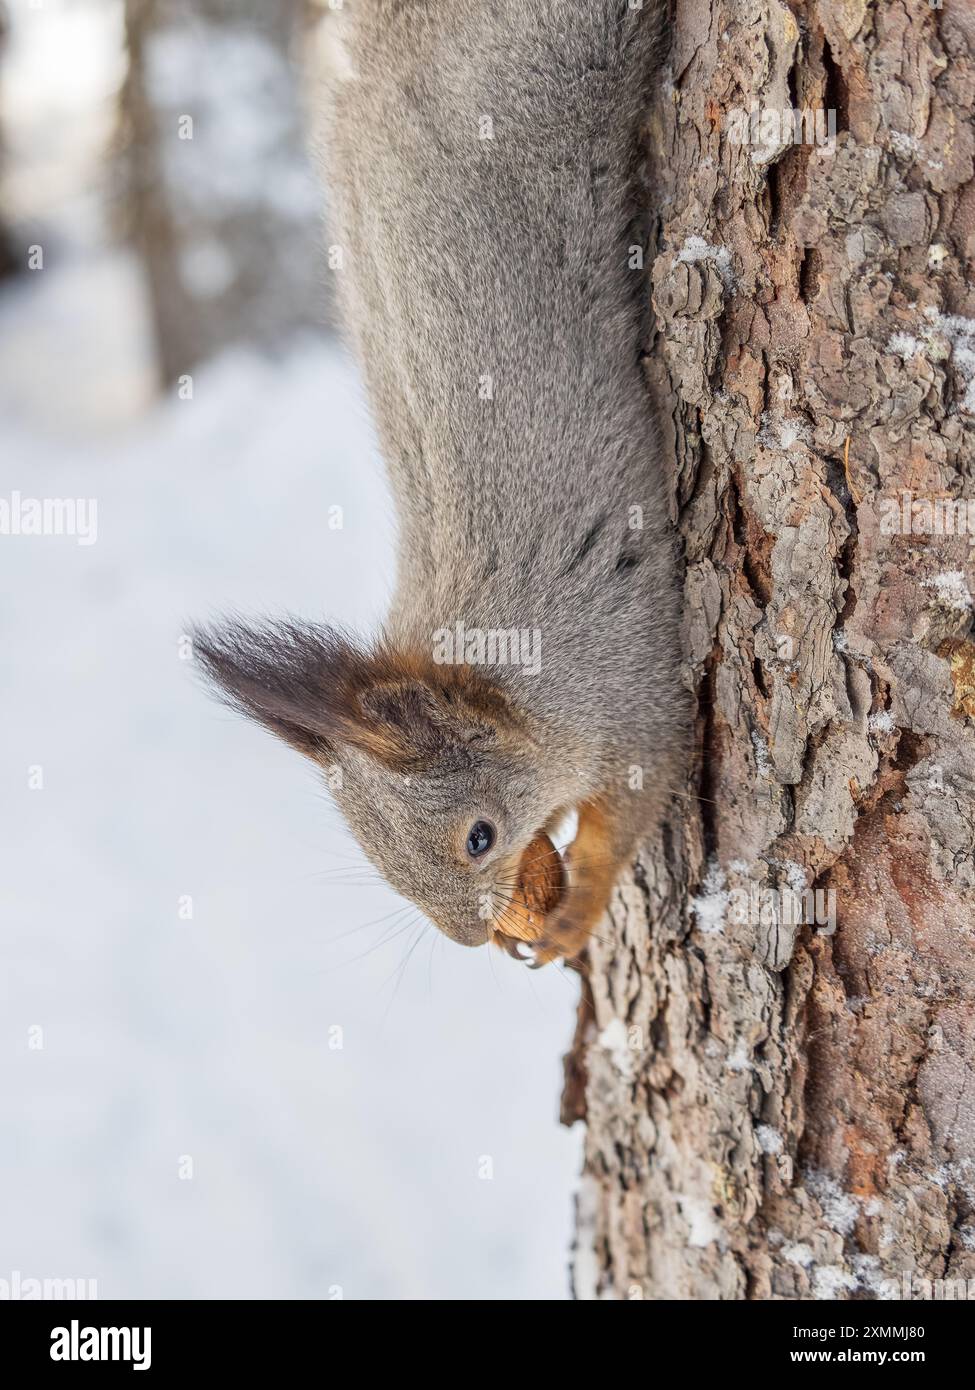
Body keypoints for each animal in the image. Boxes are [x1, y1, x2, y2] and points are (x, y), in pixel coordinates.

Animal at [195, 0, 689, 966]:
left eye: (478, 838)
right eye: (372, 854)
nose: (469, 941)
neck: (511, 679)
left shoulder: (629, 684)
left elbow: (632, 808)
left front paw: (572, 913)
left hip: (557, 57)